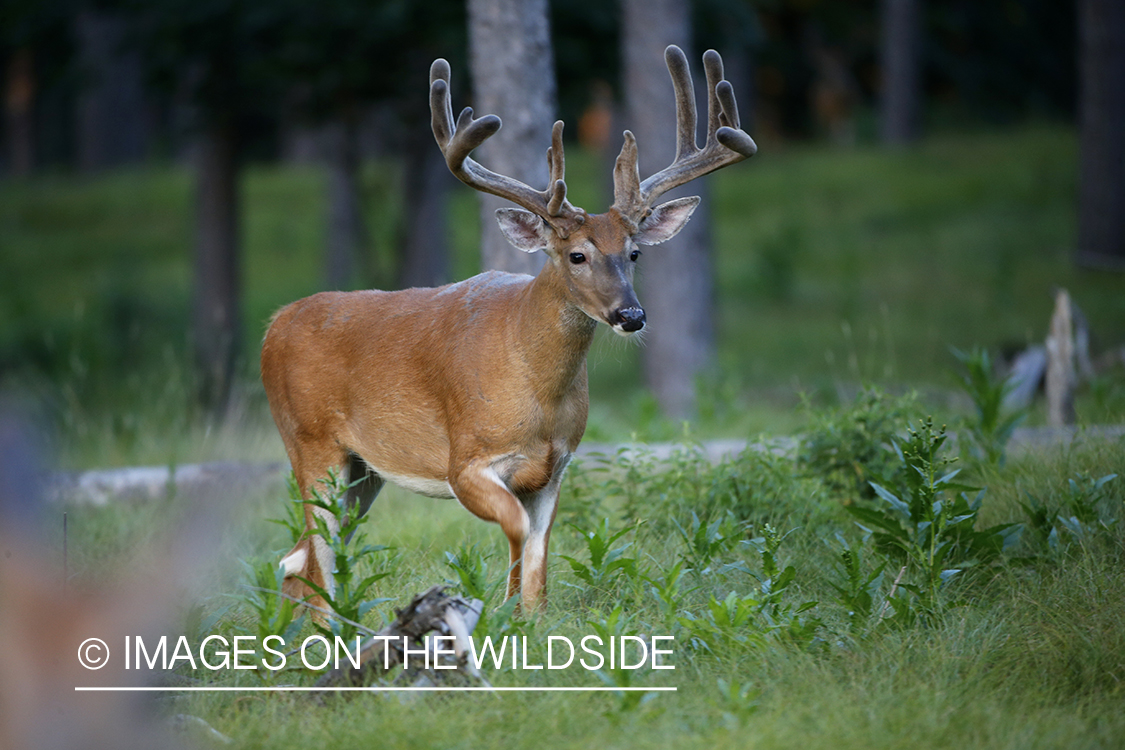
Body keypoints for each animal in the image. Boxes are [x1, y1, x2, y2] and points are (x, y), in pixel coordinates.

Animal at [262, 44, 756, 611]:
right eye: (576, 255)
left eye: (634, 253)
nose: (631, 316)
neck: (539, 395)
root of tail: (274, 325)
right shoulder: (465, 459)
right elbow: (517, 531)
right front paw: (495, 612)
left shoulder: (557, 465)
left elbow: (539, 560)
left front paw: (527, 617)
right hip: (310, 441)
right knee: (314, 557)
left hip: (362, 470)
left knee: (302, 556)